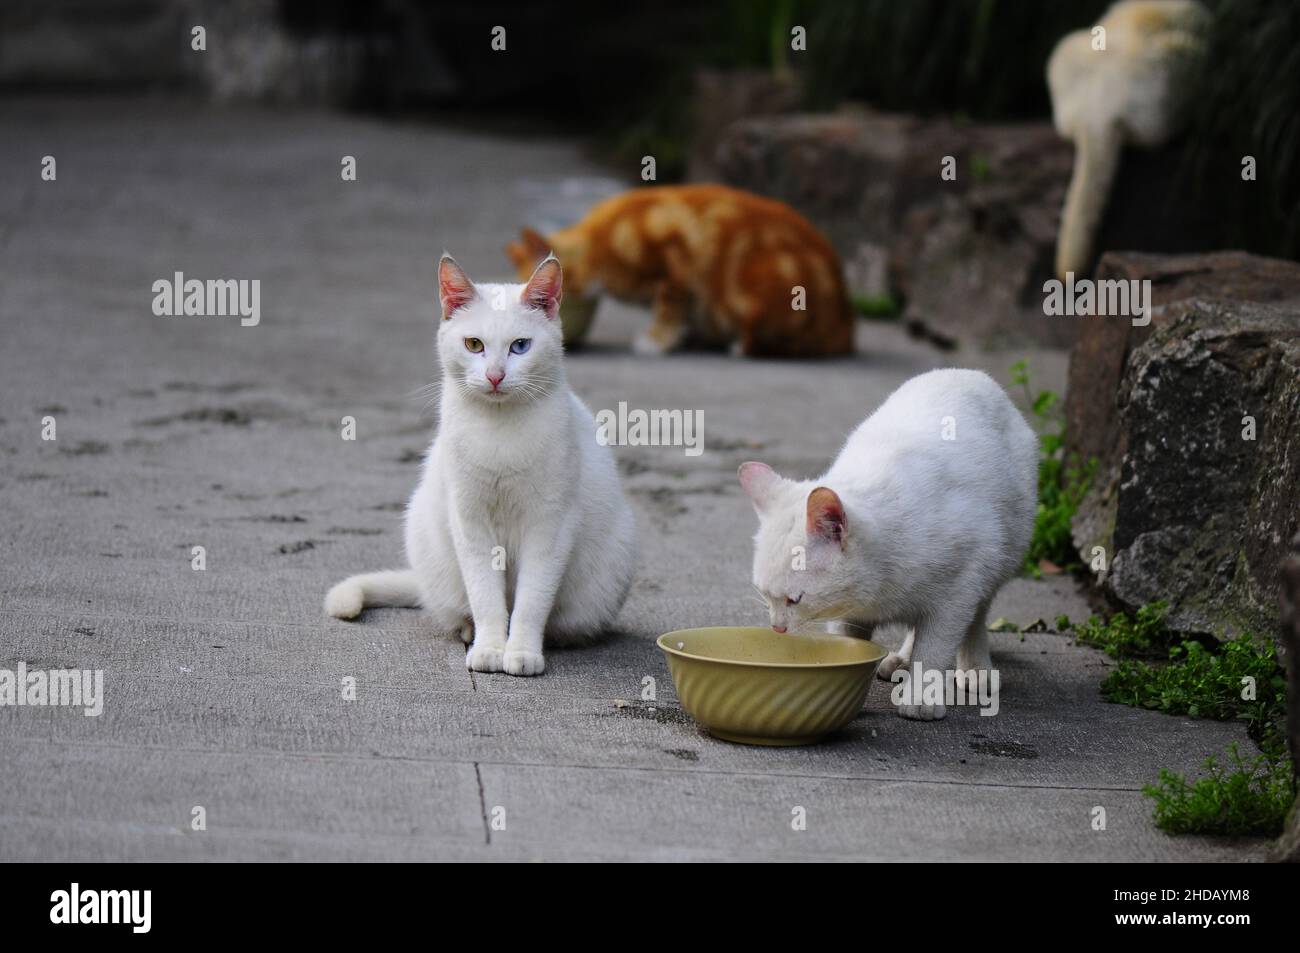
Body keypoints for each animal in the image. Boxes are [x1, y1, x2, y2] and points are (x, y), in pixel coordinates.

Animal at [504, 184, 852, 356]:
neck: (605, 242)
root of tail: (844, 325)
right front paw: (683, 336)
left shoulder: (673, 260)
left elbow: (668, 307)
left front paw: (656, 340)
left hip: (762, 280)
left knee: (762, 342)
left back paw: (737, 344)